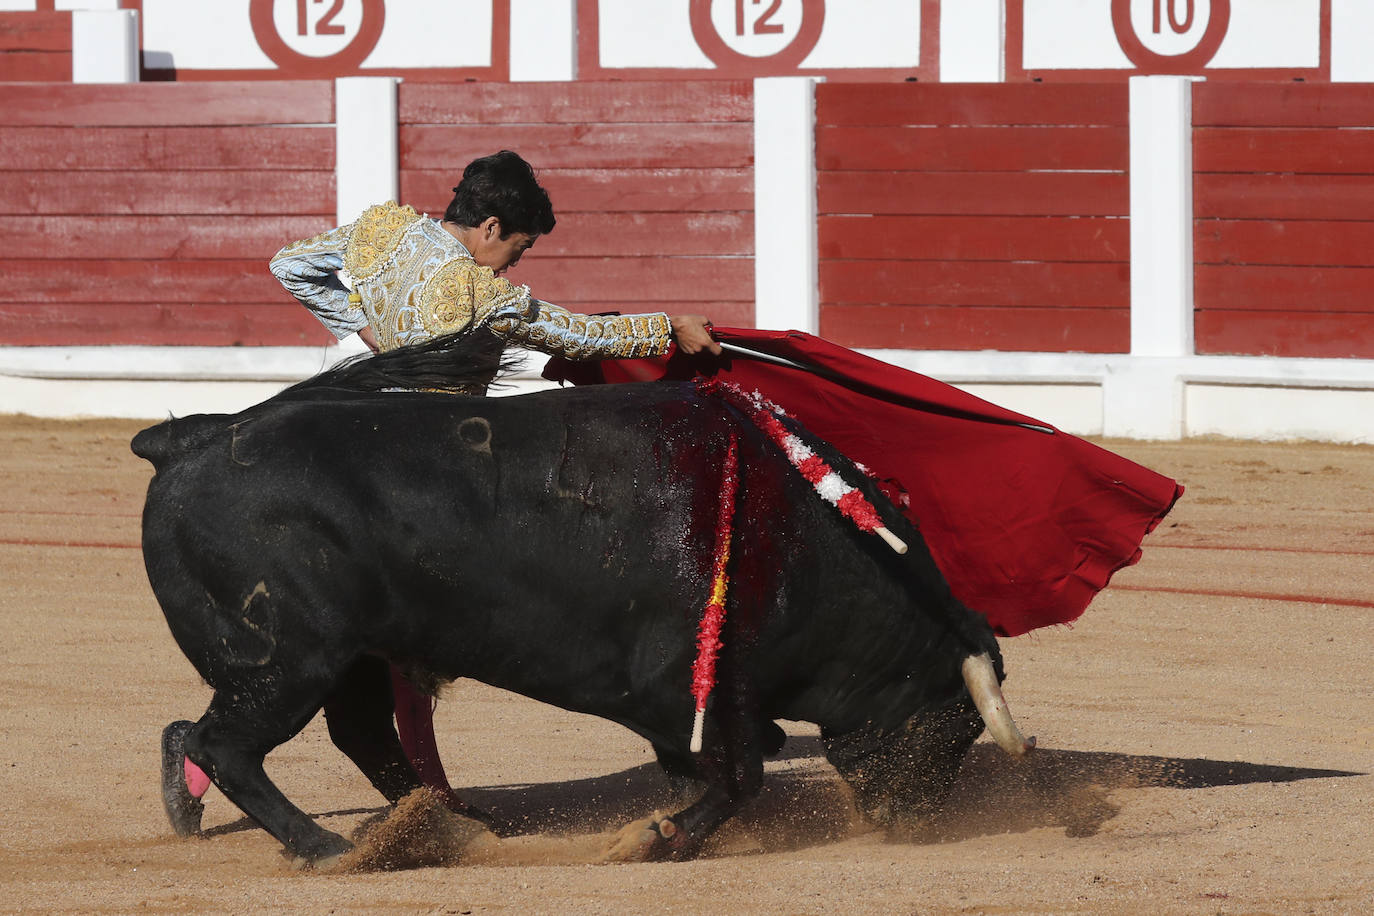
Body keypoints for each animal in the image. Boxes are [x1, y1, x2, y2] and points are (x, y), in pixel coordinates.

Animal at [133, 368, 1033, 862]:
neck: (790, 536)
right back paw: (332, 851)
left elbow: (735, 765)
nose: (909, 824)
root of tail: (191, 439)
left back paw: (453, 828)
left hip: (347, 656)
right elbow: (738, 774)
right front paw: (657, 838)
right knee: (227, 742)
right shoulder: (685, 688)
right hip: (287, 657)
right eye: (953, 729)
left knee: (340, 734)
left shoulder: (707, 702)